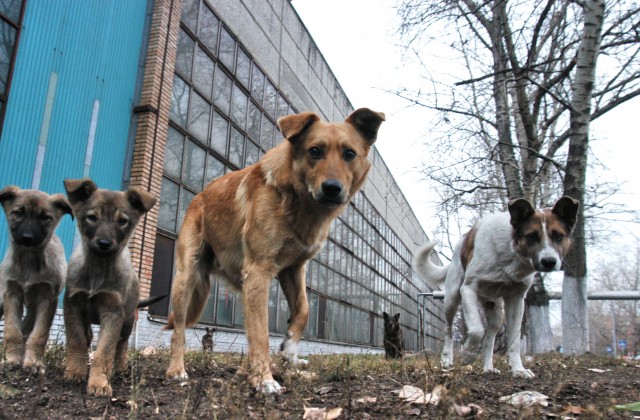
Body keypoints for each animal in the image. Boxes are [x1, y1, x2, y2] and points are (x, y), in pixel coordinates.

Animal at [0, 185, 73, 372]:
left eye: (45, 217)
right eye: (19, 212)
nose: (27, 238)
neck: (29, 261)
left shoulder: (47, 299)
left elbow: (39, 334)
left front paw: (33, 362)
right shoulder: (11, 294)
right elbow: (12, 331)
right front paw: (11, 359)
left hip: (34, 307)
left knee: (28, 327)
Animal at [62, 178, 156, 398]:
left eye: (122, 221)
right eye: (92, 218)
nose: (104, 243)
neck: (98, 268)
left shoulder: (113, 312)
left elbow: (104, 351)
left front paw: (99, 382)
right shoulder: (72, 304)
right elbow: (76, 340)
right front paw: (75, 371)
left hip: (128, 319)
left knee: (121, 345)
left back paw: (119, 368)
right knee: (88, 336)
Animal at [165, 106, 384, 392]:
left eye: (349, 154)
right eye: (315, 151)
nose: (332, 189)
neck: (296, 200)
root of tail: (198, 196)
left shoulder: (293, 269)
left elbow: (303, 309)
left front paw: (290, 349)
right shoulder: (259, 271)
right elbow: (261, 333)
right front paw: (265, 380)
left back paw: (243, 371)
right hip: (187, 278)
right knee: (179, 329)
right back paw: (177, 370)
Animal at [416, 197, 580, 378]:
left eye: (558, 235)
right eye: (531, 236)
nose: (549, 262)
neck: (511, 252)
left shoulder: (516, 300)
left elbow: (514, 341)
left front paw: (518, 370)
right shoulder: (468, 289)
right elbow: (476, 330)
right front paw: (468, 353)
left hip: (495, 311)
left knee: (489, 338)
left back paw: (488, 367)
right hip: (452, 299)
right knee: (449, 329)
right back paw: (447, 358)